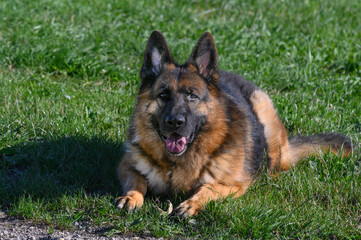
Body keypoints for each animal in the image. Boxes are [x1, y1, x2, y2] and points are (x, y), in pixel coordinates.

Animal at [116, 30, 352, 218]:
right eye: (164, 95)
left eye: (193, 96)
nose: (175, 122)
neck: (178, 162)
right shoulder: (126, 166)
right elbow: (138, 181)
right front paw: (131, 197)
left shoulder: (234, 185)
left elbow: (209, 188)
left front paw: (192, 204)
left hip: (267, 119)